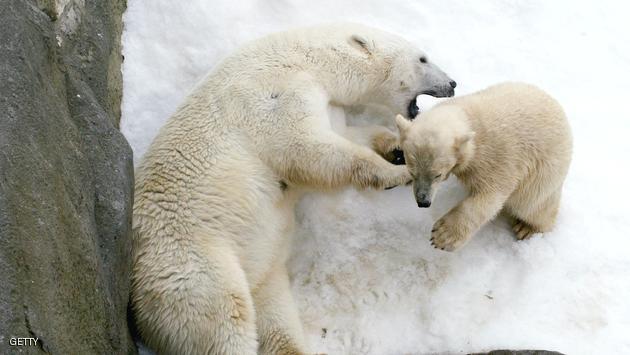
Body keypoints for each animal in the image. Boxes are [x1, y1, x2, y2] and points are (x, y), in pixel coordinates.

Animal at [133, 23, 456, 354]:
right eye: (422, 58)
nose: (453, 83)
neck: (306, 59)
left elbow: (343, 134)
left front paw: (397, 147)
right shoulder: (275, 96)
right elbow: (308, 148)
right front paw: (398, 172)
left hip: (261, 267)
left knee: (275, 317)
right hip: (192, 263)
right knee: (224, 318)